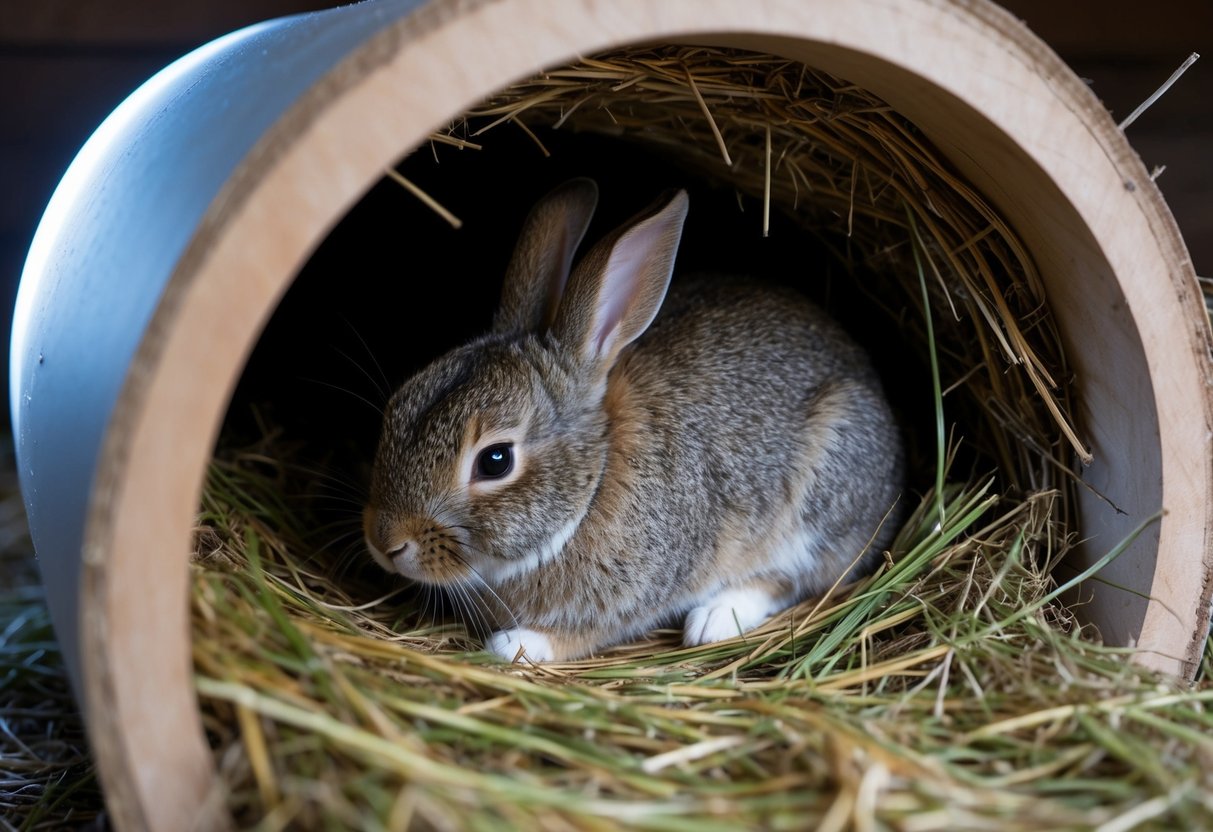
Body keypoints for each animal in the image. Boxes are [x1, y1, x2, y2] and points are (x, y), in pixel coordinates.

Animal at [362, 178, 904, 662]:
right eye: (397, 407)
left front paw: (516, 644)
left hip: (823, 495)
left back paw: (713, 619)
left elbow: (587, 632)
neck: (592, 486)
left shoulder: (643, 588)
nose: (385, 542)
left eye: (495, 460)